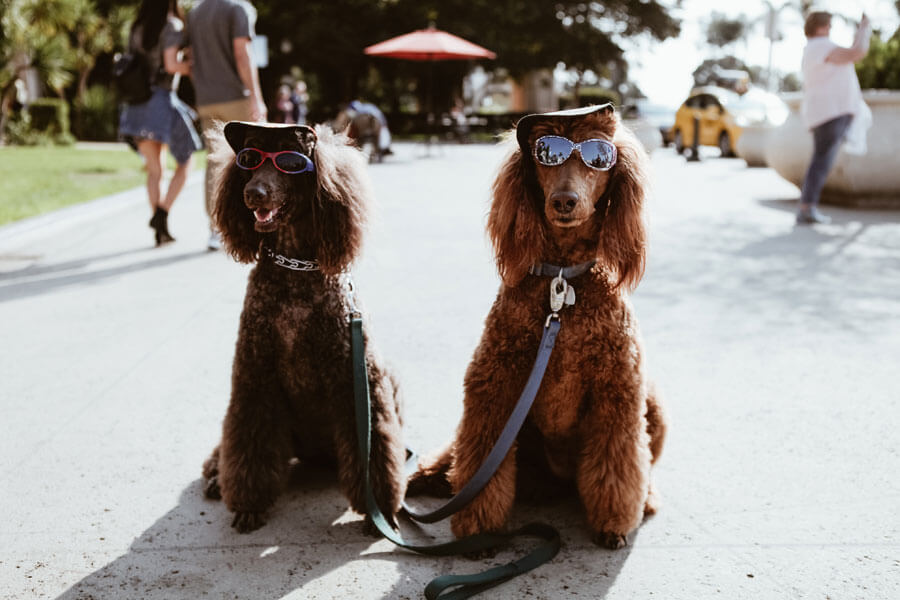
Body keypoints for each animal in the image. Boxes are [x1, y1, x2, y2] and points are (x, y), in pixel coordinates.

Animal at [202, 119, 406, 532]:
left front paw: (379, 508)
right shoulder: (254, 378)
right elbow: (247, 441)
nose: (252, 193)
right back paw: (215, 476)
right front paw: (249, 504)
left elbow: (377, 448)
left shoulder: (358, 383)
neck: (296, 272)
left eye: (291, 162)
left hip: (390, 377)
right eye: (249, 158)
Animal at [412, 104, 664, 548]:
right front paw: (478, 527)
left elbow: (619, 463)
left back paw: (645, 497)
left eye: (599, 157)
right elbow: (480, 456)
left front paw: (614, 522)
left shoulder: (618, 393)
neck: (562, 280)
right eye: (546, 154)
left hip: (656, 406)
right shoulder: (493, 386)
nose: (565, 200)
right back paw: (431, 475)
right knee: (457, 452)